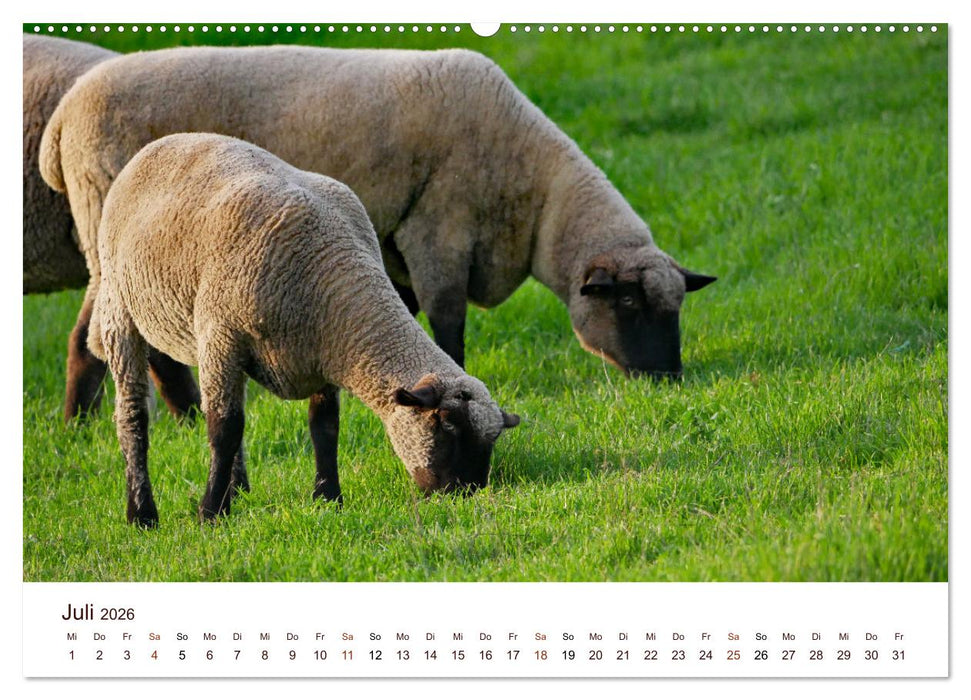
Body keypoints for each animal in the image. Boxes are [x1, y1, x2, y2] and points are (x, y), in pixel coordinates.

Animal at [41, 45, 716, 422]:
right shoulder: (438, 227)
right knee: (103, 339)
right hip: (114, 237)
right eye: (627, 304)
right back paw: (107, 423)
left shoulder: (395, 246)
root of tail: (63, 120)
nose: (669, 381)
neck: (532, 188)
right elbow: (448, 321)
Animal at [92, 133, 520, 527]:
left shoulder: (321, 352)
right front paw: (211, 513)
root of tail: (163, 142)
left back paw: (238, 487)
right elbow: (224, 428)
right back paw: (142, 514)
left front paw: (328, 498)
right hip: (120, 309)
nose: (465, 494)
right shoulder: (223, 337)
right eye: (445, 423)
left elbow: (324, 427)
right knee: (132, 418)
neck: (331, 272)